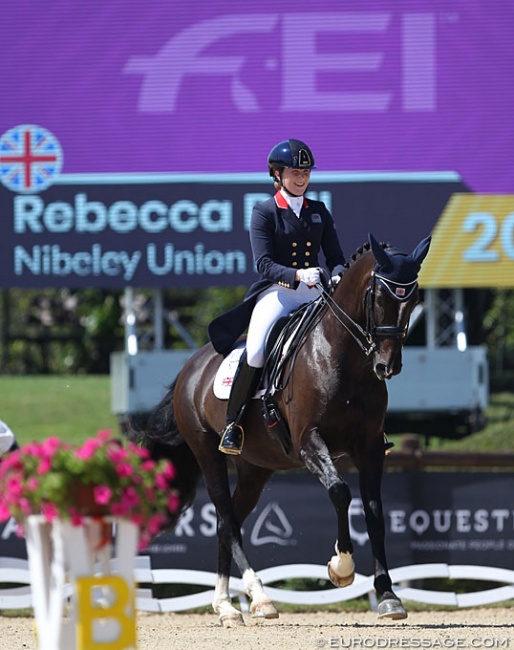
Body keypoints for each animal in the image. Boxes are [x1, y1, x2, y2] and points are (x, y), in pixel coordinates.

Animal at [136, 232, 428, 624]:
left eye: (413, 299)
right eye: (378, 297)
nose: (387, 365)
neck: (343, 356)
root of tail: (190, 368)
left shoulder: (368, 447)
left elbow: (375, 512)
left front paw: (388, 596)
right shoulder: (309, 442)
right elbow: (340, 493)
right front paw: (341, 568)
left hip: (254, 469)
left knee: (226, 523)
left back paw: (226, 605)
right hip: (209, 455)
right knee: (227, 521)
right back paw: (258, 599)